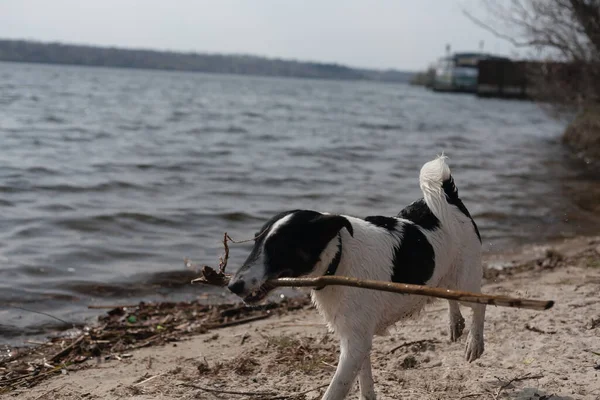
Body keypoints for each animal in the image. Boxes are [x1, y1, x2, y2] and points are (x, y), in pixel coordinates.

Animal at [227, 157, 486, 400]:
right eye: (256, 242)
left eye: (279, 248)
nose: (232, 285)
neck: (338, 259)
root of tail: (450, 198)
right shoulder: (357, 336)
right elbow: (364, 380)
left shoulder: (355, 343)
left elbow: (335, 390)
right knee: (452, 296)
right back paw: (455, 323)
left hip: (466, 278)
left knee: (479, 303)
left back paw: (474, 343)